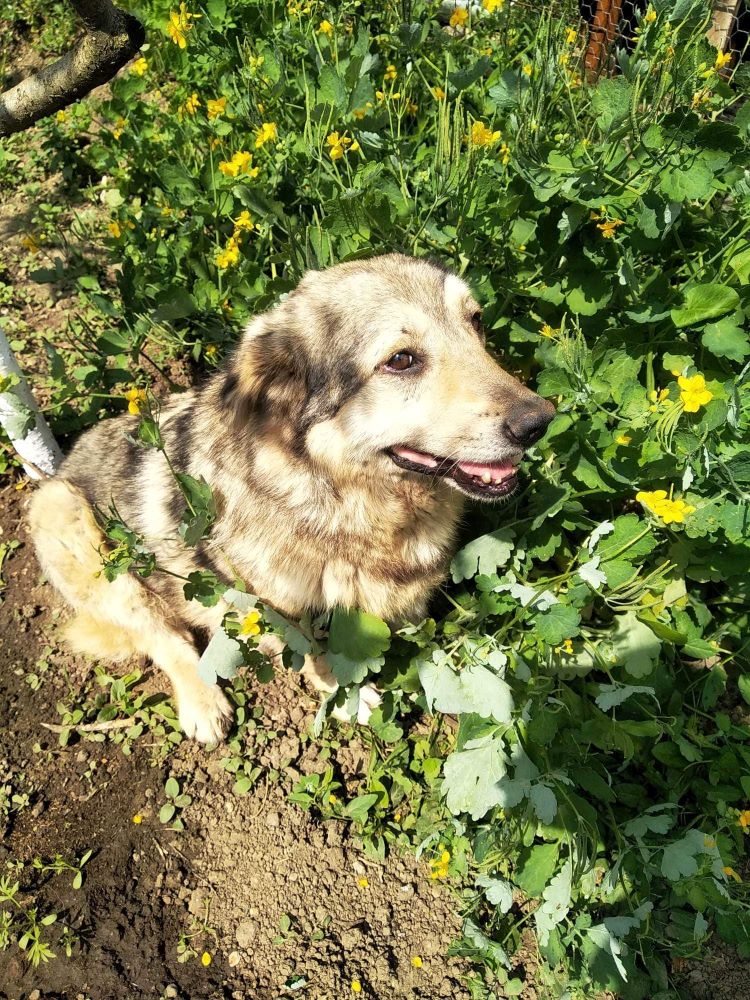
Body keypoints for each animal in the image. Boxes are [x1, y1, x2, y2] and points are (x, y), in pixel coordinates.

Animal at [29, 256, 556, 744]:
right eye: (401, 360)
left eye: (476, 321)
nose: (540, 421)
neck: (344, 503)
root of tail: (67, 460)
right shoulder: (258, 607)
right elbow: (310, 652)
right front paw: (347, 694)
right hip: (72, 526)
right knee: (168, 638)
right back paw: (203, 704)